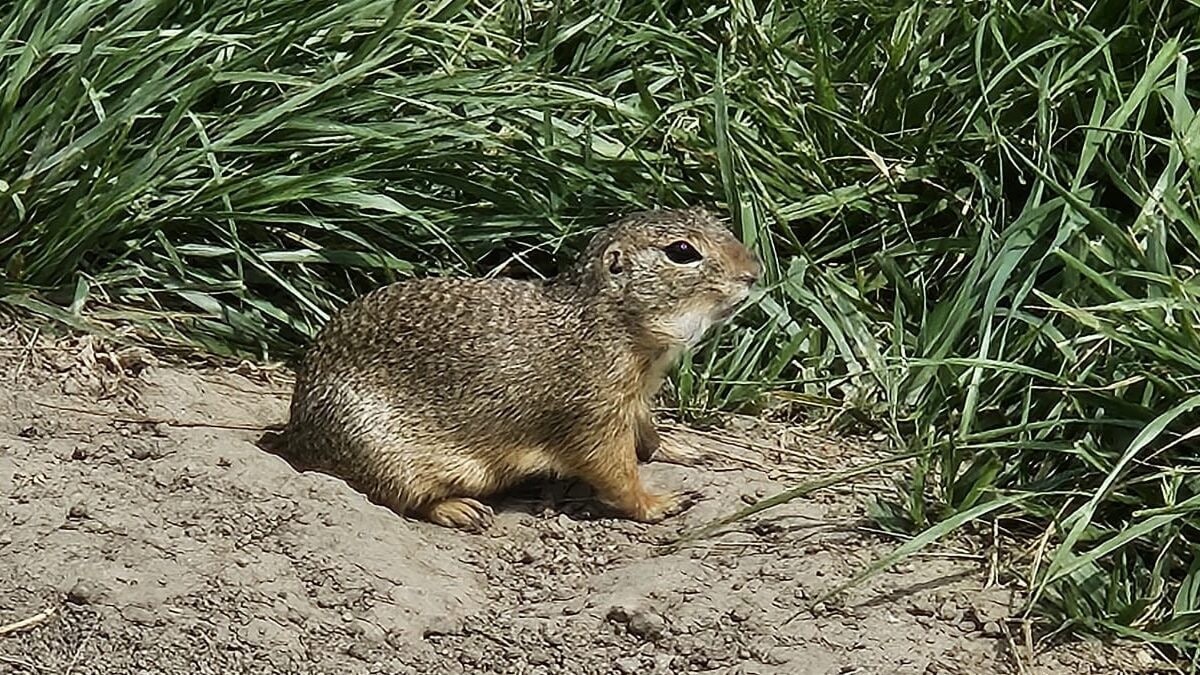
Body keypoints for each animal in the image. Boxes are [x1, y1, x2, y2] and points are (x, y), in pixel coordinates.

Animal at [270, 206, 758, 530]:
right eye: (682, 251)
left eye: (715, 219)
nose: (753, 273)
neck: (611, 323)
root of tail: (298, 437)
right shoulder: (591, 412)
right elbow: (613, 469)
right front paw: (660, 502)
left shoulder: (633, 399)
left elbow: (648, 434)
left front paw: (685, 449)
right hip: (381, 453)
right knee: (396, 498)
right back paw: (461, 509)